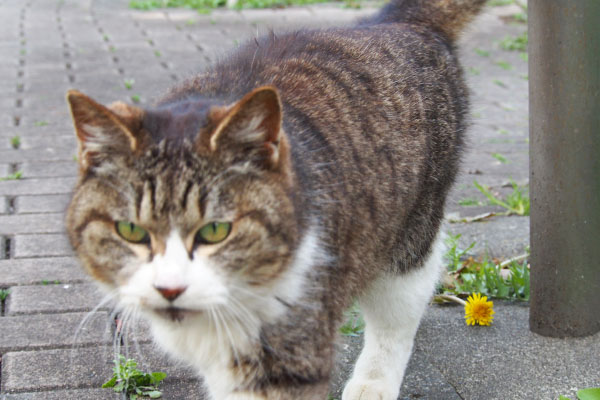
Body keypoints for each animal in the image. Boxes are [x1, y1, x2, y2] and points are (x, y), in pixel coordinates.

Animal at [67, 1, 488, 398]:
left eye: (216, 230)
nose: (169, 289)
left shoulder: (294, 342)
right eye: (130, 230)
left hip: (410, 237)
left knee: (398, 314)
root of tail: (391, 21)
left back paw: (373, 383)